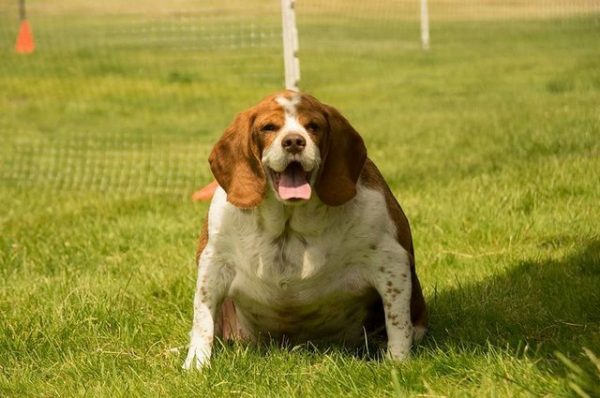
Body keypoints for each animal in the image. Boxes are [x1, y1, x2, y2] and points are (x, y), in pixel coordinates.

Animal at [183, 90, 426, 370]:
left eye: (313, 126)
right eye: (269, 127)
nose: (293, 142)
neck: (288, 223)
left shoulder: (390, 260)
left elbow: (397, 322)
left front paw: (398, 363)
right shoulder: (214, 261)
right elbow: (202, 320)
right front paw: (195, 365)